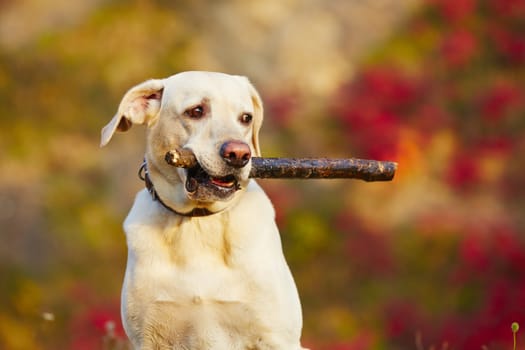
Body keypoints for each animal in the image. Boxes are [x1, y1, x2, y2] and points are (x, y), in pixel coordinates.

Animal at [100, 72, 304, 350]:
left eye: (246, 118)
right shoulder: (149, 336)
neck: (199, 221)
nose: (239, 154)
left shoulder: (277, 337)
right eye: (196, 111)